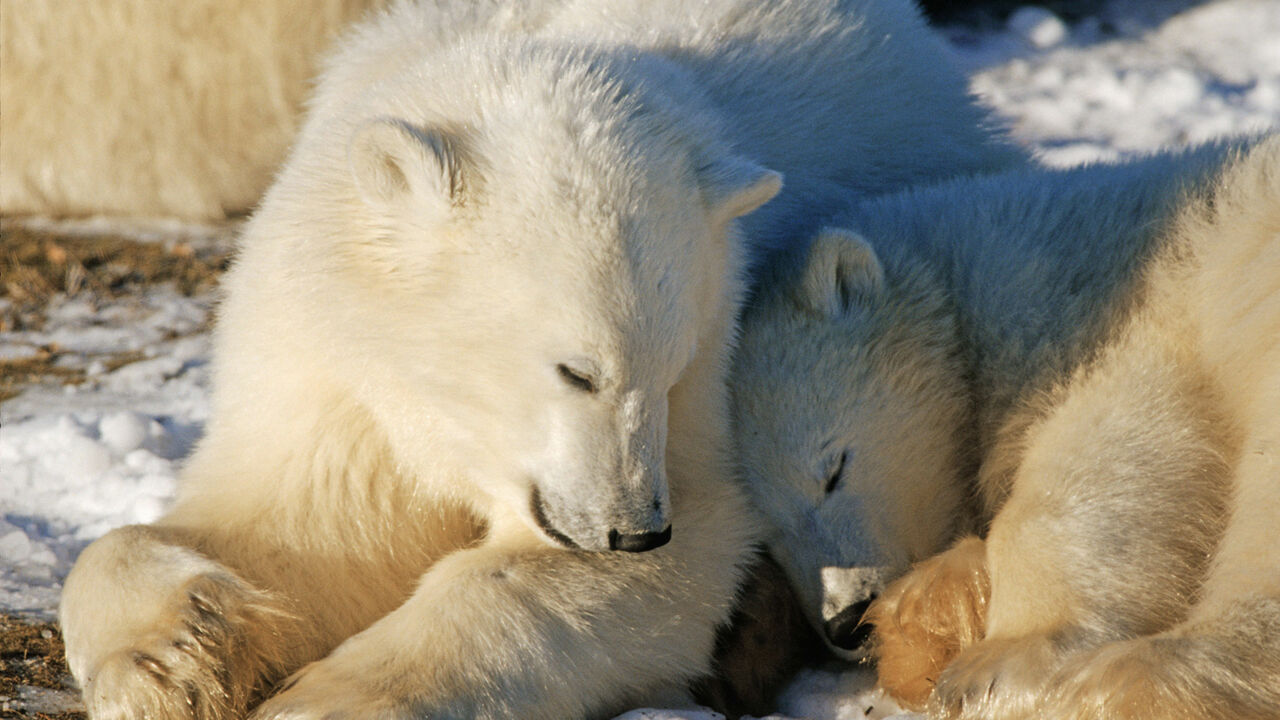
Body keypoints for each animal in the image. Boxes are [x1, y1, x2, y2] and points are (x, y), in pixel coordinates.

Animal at [732, 135, 1280, 717]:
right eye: (763, 535)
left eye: (834, 469)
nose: (846, 620)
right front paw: (924, 619)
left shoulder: (1136, 332)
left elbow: (1110, 452)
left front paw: (999, 661)